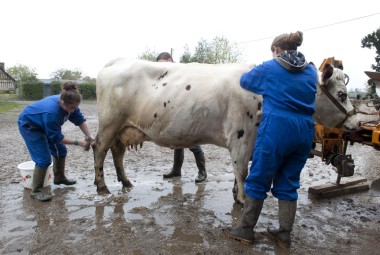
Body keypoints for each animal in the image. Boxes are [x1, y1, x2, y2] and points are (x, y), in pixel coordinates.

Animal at [93, 59, 380, 203]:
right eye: (341, 94)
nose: (356, 124)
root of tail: (113, 63)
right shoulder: (242, 137)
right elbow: (242, 170)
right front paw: (242, 200)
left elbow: (240, 171)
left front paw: (235, 194)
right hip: (109, 123)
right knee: (100, 149)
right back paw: (102, 187)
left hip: (123, 127)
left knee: (117, 152)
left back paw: (126, 182)